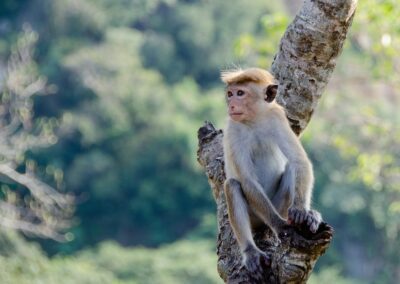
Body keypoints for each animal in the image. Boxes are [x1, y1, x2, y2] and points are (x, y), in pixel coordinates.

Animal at [222, 67, 322, 276]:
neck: (254, 120)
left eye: (240, 93)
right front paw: (280, 225)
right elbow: (247, 180)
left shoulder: (277, 118)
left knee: (291, 168)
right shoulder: (233, 129)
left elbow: (299, 161)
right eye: (230, 94)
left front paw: (302, 211)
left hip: (279, 205)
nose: (232, 104)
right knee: (232, 185)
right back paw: (251, 252)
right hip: (256, 215)